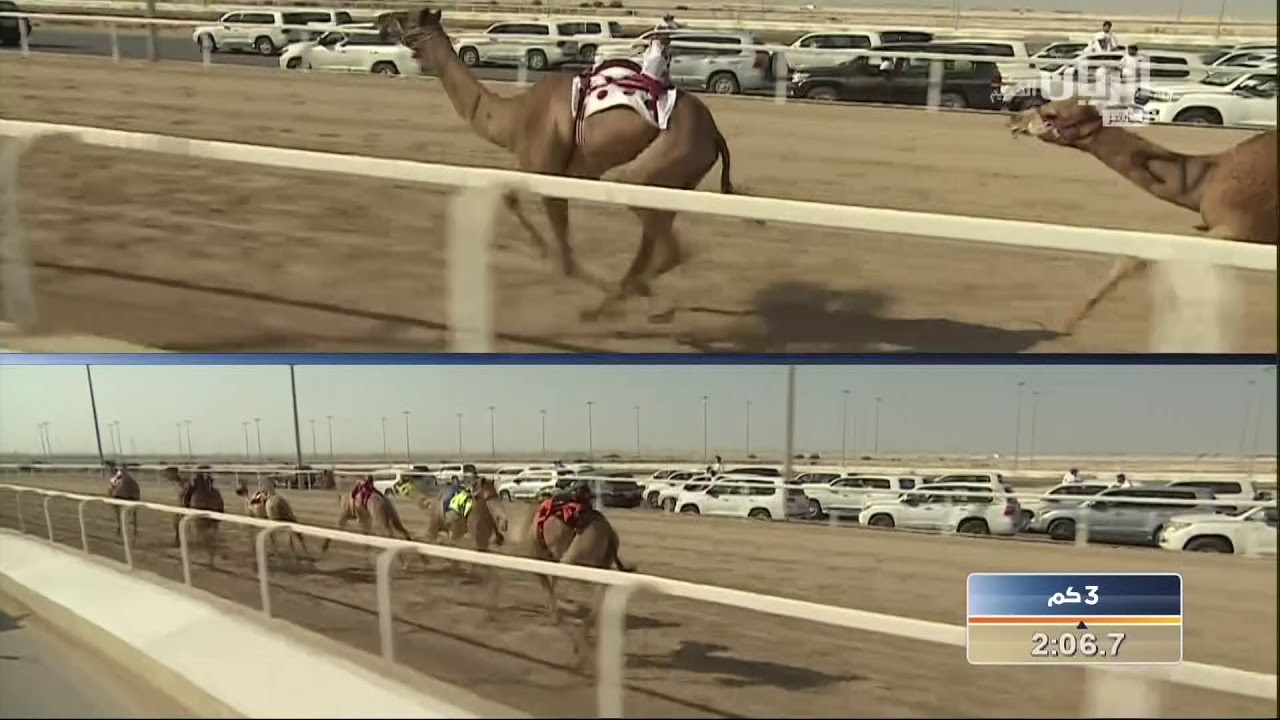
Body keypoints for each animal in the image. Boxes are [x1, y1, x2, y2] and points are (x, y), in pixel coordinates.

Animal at [376, 8, 743, 321]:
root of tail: (715, 134)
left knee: (666, 245)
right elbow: (510, 197)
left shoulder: (549, 174)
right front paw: (543, 251)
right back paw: (627, 299)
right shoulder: (549, 173)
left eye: (406, 18)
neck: (513, 119)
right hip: (677, 181)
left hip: (657, 167)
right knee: (659, 242)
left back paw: (613, 302)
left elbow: (566, 259)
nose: (380, 20)